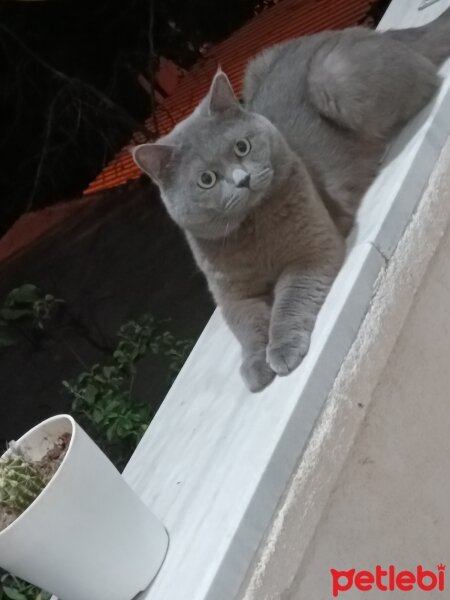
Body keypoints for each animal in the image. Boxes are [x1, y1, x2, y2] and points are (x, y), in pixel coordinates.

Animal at [132, 10, 450, 394]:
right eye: (206, 180)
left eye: (242, 147)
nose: (243, 179)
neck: (253, 232)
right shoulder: (232, 295)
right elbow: (246, 326)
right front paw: (256, 364)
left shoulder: (310, 251)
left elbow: (289, 299)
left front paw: (281, 350)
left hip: (334, 78)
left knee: (429, 80)